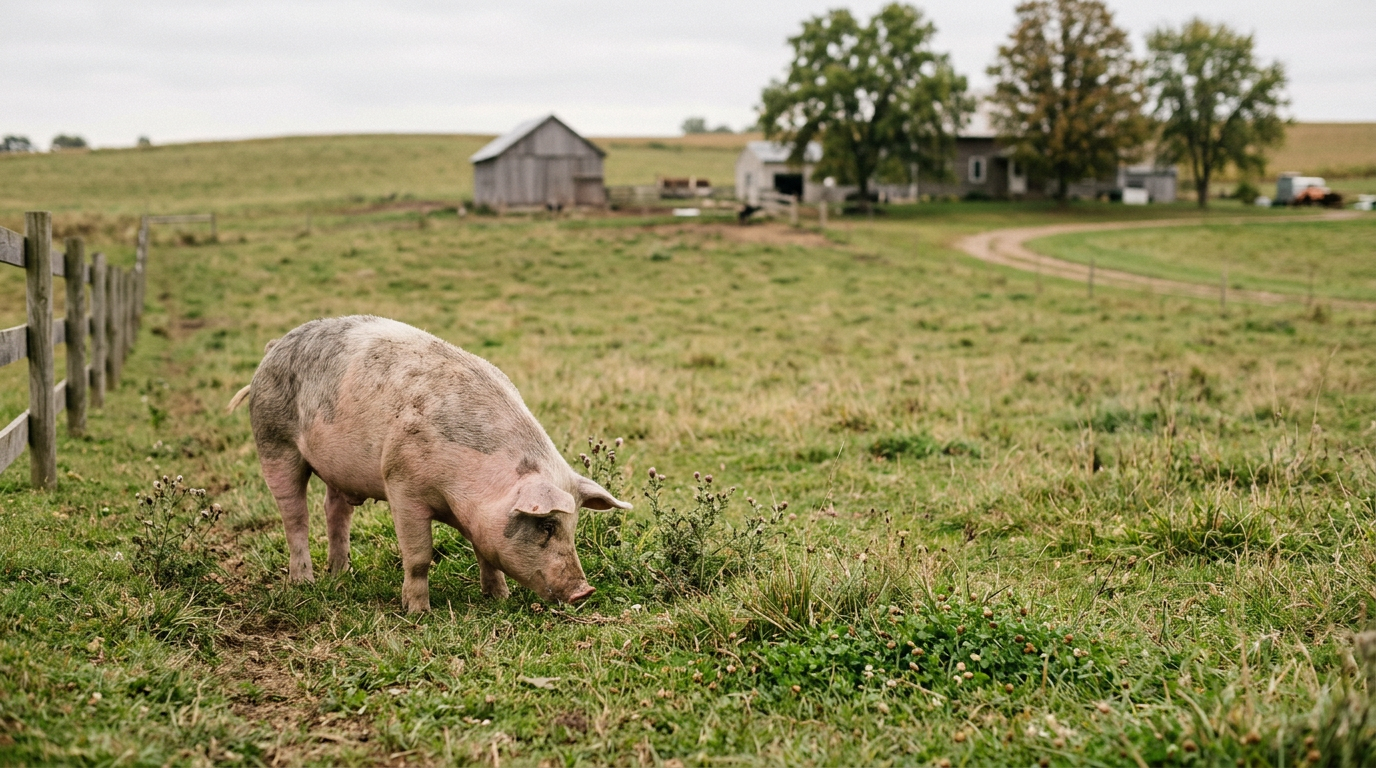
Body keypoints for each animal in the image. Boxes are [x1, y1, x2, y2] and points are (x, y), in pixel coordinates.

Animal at [227, 315, 630, 612]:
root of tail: (274, 347)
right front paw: (418, 612)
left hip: (337, 470)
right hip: (273, 440)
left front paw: (499, 598)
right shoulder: (402, 484)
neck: (463, 492)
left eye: (572, 528)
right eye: (546, 525)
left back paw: (341, 576)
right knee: (295, 515)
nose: (584, 591)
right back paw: (304, 583)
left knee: (335, 510)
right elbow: (419, 556)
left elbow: (485, 553)